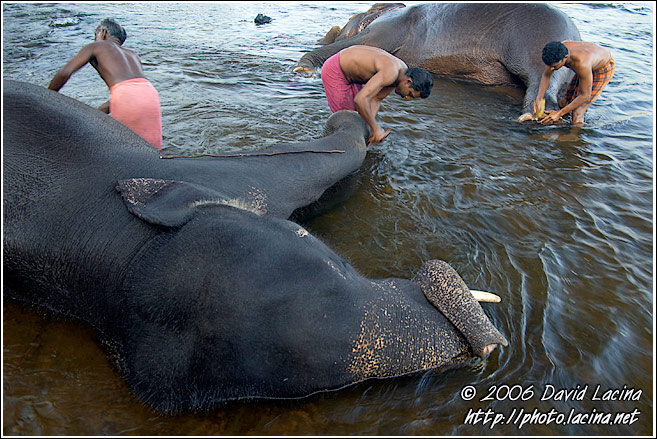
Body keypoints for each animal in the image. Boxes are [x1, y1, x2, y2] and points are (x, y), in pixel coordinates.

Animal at [295, 3, 582, 113]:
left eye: (350, 18)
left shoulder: (386, 29)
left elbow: (353, 44)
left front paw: (301, 69)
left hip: (536, 44)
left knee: (542, 80)